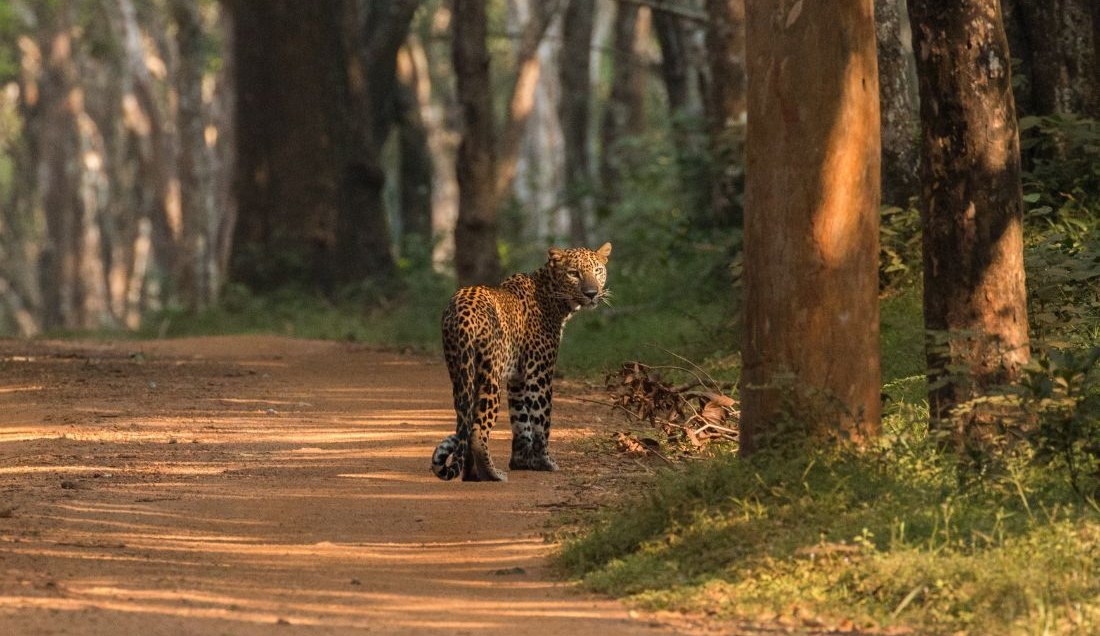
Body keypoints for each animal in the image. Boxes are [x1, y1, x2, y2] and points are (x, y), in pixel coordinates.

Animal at [431, 243, 612, 481]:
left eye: (598, 271)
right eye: (574, 273)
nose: (591, 293)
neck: (553, 298)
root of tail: (462, 311)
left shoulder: (517, 378)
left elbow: (521, 421)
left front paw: (521, 461)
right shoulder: (539, 373)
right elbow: (541, 420)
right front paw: (545, 462)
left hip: (460, 371)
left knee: (466, 421)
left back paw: (472, 474)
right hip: (490, 375)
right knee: (478, 429)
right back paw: (492, 474)